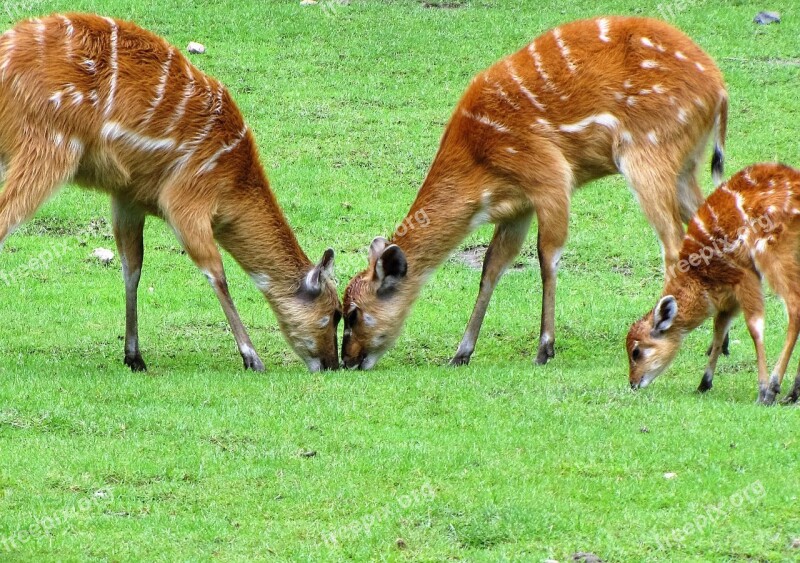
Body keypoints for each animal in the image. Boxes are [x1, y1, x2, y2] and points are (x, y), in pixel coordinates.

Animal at [0, 13, 340, 372]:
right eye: (335, 314)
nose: (333, 364)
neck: (234, 178)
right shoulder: (184, 199)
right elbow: (215, 272)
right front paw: (252, 358)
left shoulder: (128, 197)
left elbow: (132, 267)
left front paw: (134, 356)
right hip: (48, 148)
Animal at [340, 15, 728, 370]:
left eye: (354, 313)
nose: (348, 360)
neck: (479, 165)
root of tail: (720, 90)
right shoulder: (518, 206)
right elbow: (492, 265)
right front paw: (461, 353)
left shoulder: (551, 177)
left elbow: (547, 257)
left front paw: (544, 349)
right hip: (686, 166)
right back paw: (719, 343)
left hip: (647, 154)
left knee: (673, 244)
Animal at [628, 163, 800, 406]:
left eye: (636, 351)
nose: (632, 383)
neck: (700, 278)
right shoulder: (728, 300)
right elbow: (719, 330)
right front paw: (703, 383)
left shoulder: (743, 276)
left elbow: (755, 327)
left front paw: (763, 391)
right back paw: (793, 391)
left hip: (773, 253)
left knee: (794, 306)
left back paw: (775, 388)